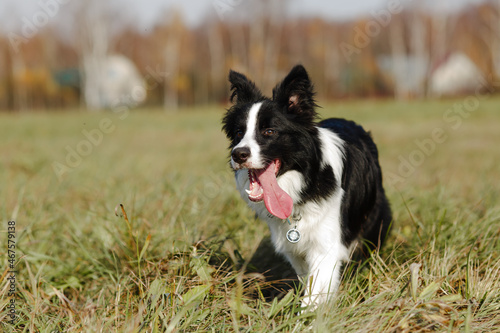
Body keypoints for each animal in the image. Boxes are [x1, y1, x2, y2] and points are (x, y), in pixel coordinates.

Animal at [222, 64, 390, 306]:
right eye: (238, 133)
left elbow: (316, 291)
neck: (302, 184)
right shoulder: (293, 247)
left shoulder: (326, 245)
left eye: (269, 131)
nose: (238, 154)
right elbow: (307, 278)